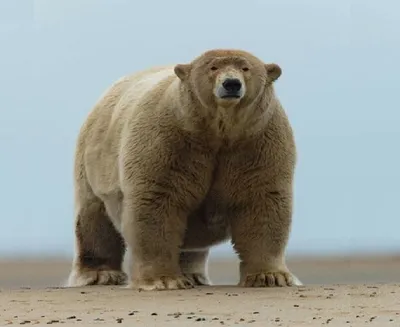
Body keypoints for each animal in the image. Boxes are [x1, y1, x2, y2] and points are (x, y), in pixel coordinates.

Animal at [66, 48, 304, 290]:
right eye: (213, 67)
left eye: (246, 68)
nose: (231, 84)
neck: (218, 132)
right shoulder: (169, 139)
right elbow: (157, 201)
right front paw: (164, 279)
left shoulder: (257, 142)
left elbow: (262, 200)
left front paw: (271, 277)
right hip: (94, 161)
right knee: (93, 218)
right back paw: (100, 274)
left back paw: (194, 275)